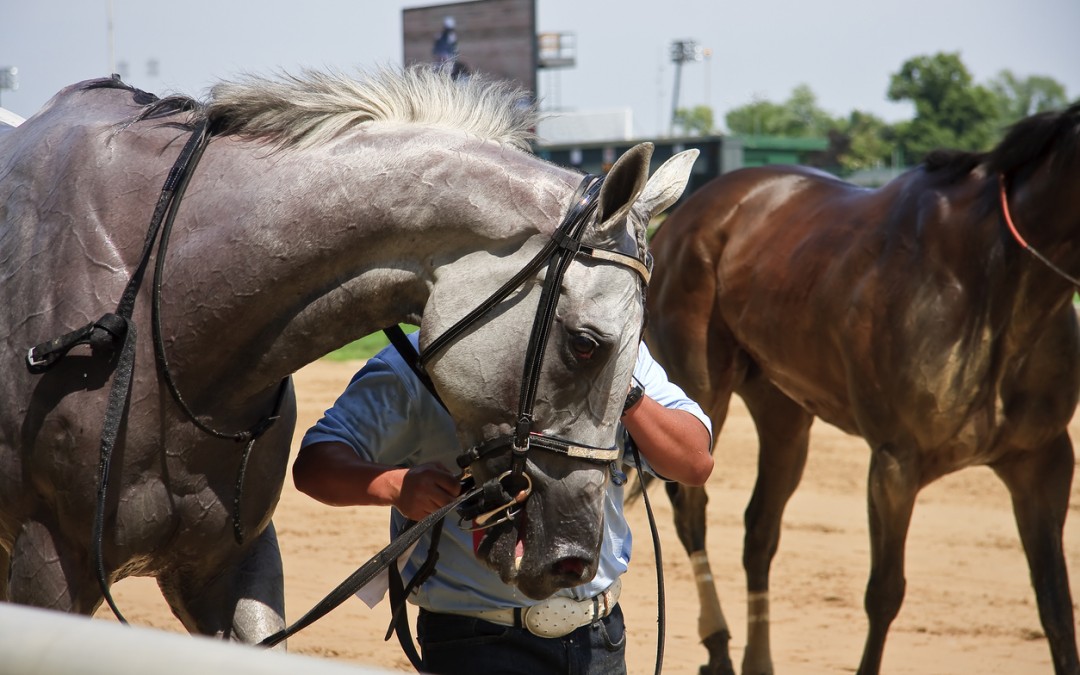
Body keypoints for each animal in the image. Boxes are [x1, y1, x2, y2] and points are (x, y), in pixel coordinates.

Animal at [643, 101, 1075, 673]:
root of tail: (688, 212)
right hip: (701, 384)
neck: (992, 281)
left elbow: (1056, 606)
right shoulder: (896, 461)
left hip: (783, 409)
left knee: (760, 530)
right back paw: (716, 644)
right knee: (691, 507)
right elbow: (885, 593)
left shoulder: (1042, 462)